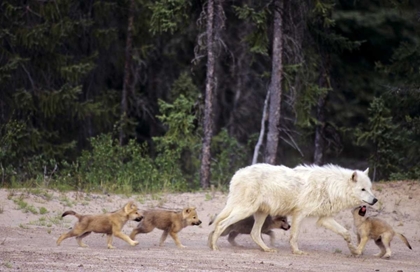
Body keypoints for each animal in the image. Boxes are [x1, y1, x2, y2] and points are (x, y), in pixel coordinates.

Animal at [209, 164, 378, 255]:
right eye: (363, 189)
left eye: (370, 188)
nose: (375, 200)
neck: (331, 187)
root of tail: (237, 174)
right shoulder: (300, 214)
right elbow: (294, 236)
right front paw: (297, 252)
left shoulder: (325, 218)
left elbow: (346, 233)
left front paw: (354, 250)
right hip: (245, 210)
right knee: (221, 224)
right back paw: (214, 247)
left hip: (260, 213)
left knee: (254, 233)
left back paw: (267, 249)